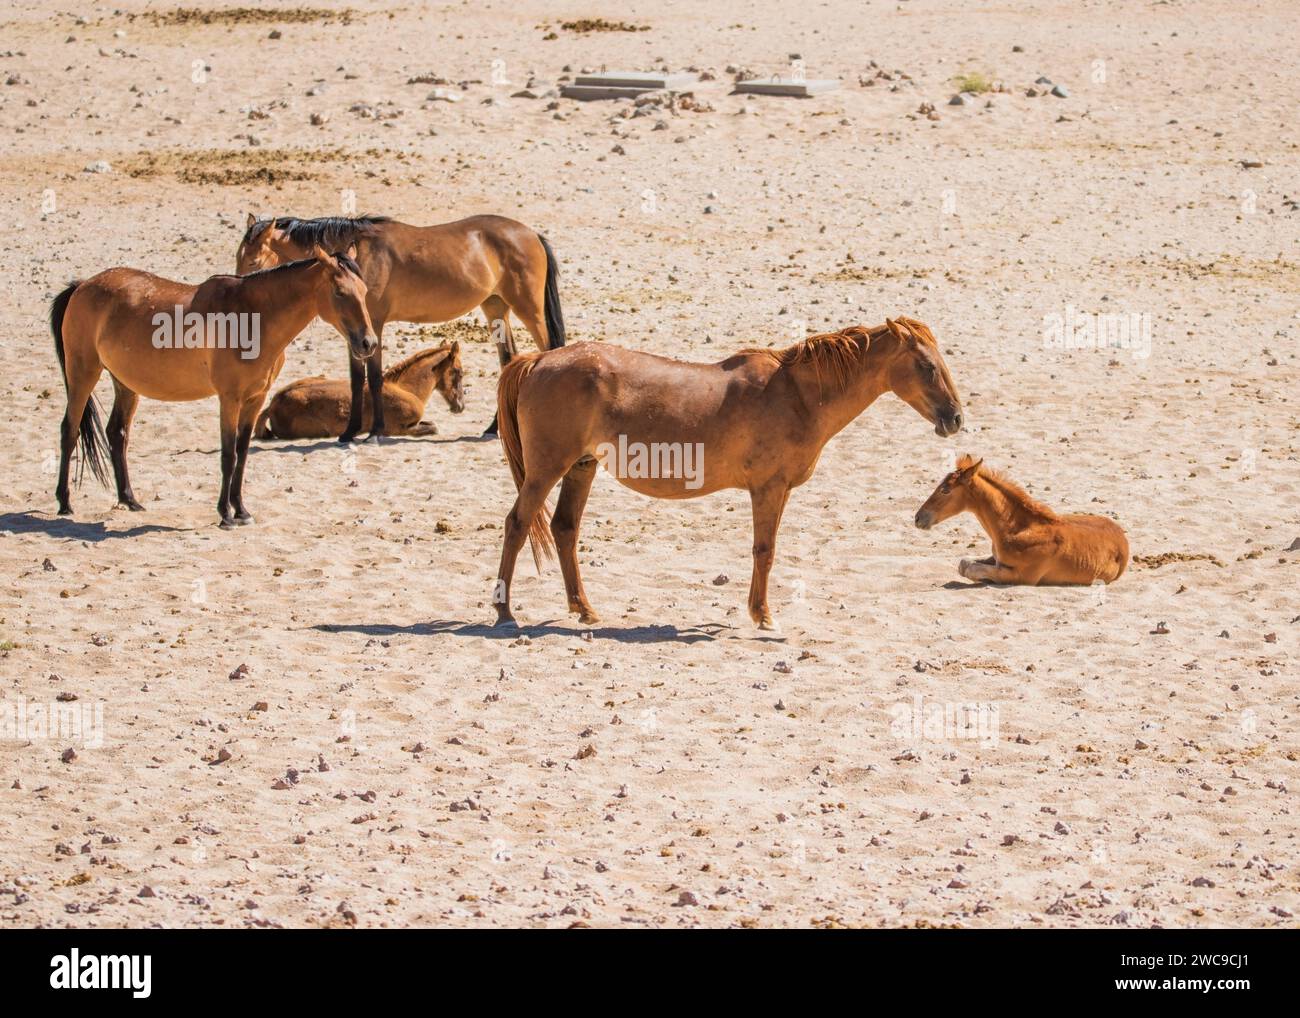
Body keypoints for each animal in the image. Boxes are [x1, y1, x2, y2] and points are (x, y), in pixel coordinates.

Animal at [51, 245, 375, 528]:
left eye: (364, 291)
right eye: (339, 292)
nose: (368, 343)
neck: (252, 318)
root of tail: (82, 286)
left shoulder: (255, 400)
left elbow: (242, 453)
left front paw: (242, 510)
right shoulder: (229, 399)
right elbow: (228, 454)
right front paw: (225, 514)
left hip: (126, 384)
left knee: (117, 434)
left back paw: (130, 500)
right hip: (83, 374)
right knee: (69, 431)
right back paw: (65, 503)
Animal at [255, 341, 464, 440]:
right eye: (459, 372)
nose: (460, 406)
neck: (405, 389)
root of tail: (272, 405)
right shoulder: (398, 428)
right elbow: (433, 427)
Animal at [492, 317, 964, 629]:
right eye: (926, 366)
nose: (956, 418)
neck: (796, 395)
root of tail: (538, 359)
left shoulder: (778, 491)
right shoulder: (768, 490)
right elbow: (764, 551)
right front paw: (763, 615)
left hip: (581, 468)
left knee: (564, 529)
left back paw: (584, 609)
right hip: (546, 470)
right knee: (517, 524)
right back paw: (503, 610)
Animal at [914, 454, 1129, 584]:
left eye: (945, 490)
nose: (918, 518)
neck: (1017, 529)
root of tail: (1123, 540)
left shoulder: (1023, 577)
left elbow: (970, 568)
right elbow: (965, 563)